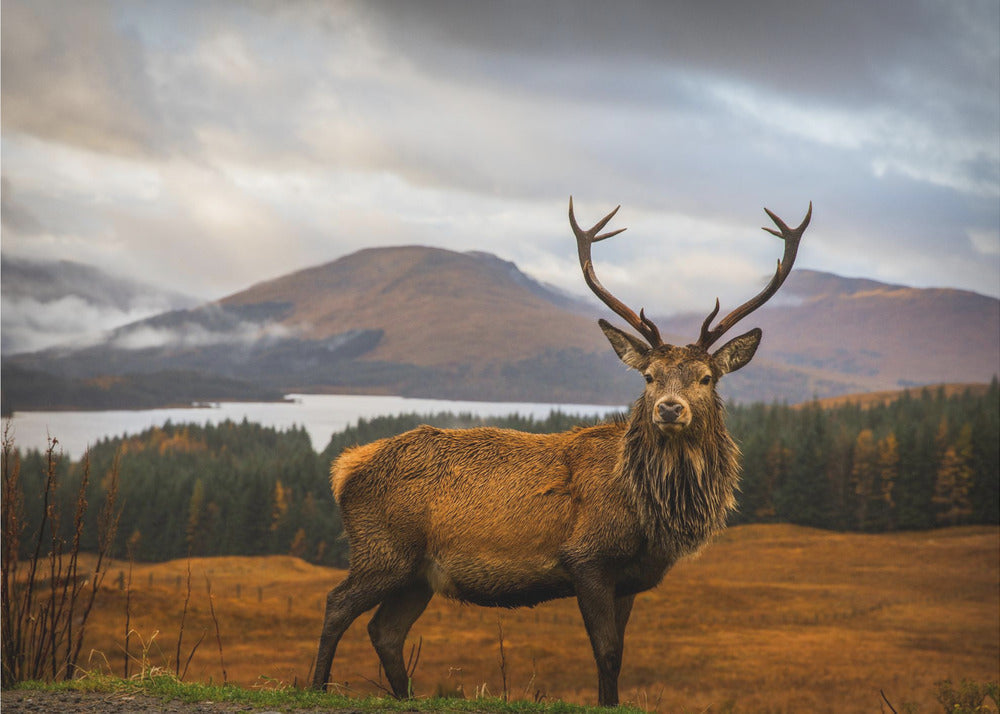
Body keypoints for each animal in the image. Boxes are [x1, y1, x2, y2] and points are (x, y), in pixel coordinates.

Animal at [311, 197, 811, 706]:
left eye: (707, 378)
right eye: (649, 376)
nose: (670, 408)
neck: (649, 514)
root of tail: (345, 467)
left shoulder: (629, 579)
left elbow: (619, 654)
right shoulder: (586, 558)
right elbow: (606, 653)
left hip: (417, 575)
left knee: (385, 631)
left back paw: (405, 696)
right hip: (383, 550)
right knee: (336, 605)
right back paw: (316, 686)